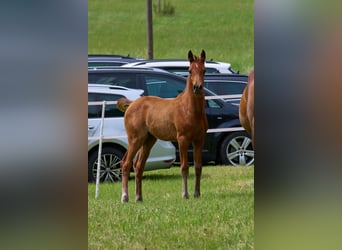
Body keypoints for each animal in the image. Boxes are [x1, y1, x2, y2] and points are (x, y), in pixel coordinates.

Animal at [117, 49, 208, 202]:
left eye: (204, 70)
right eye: (189, 71)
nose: (197, 87)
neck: (189, 109)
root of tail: (132, 104)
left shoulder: (199, 140)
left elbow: (198, 166)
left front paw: (197, 193)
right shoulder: (182, 139)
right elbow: (184, 167)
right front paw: (185, 194)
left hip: (148, 140)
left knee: (138, 166)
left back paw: (139, 197)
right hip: (135, 139)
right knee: (126, 164)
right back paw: (125, 197)